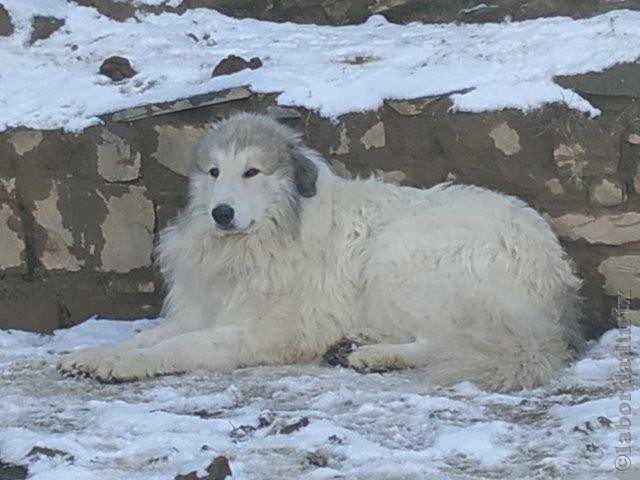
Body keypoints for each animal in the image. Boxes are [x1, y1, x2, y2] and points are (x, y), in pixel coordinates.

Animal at [57, 112, 584, 390]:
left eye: (251, 172)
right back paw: (357, 341)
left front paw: (121, 366)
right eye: (213, 172)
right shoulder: (204, 311)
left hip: (398, 257)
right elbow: (150, 336)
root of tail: (553, 270)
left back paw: (373, 356)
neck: (264, 238)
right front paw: (96, 353)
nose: (221, 213)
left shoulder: (263, 332)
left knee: (443, 341)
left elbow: (179, 346)